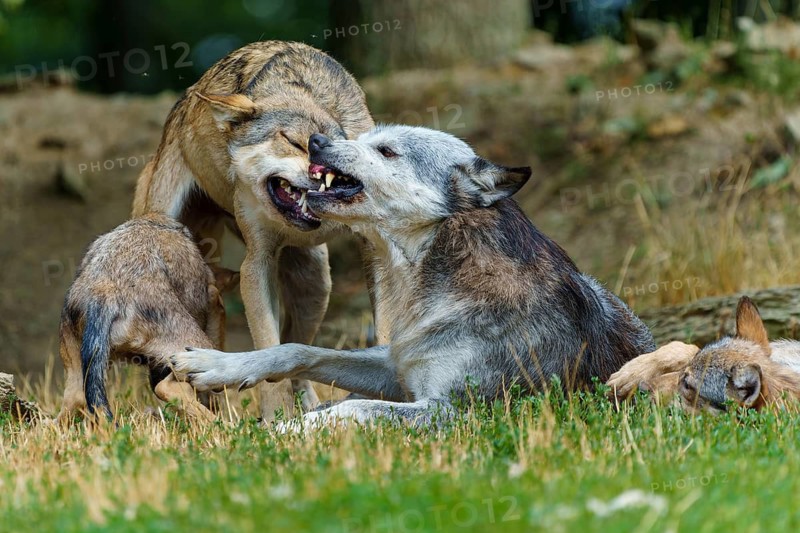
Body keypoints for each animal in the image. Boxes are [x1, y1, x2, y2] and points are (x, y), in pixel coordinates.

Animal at [58, 214, 239, 422]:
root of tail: (104, 293)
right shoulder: (214, 299)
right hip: (195, 351)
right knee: (167, 387)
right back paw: (225, 424)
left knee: (75, 400)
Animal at [132, 41, 375, 420]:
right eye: (293, 142)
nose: (322, 173)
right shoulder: (256, 263)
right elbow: (267, 350)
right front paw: (275, 419)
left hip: (316, 283)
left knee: (299, 353)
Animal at [170, 125, 656, 428]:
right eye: (364, 138)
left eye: (386, 151)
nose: (316, 139)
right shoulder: (395, 366)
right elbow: (294, 349)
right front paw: (219, 366)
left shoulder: (455, 411)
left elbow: (353, 412)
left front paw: (286, 432)